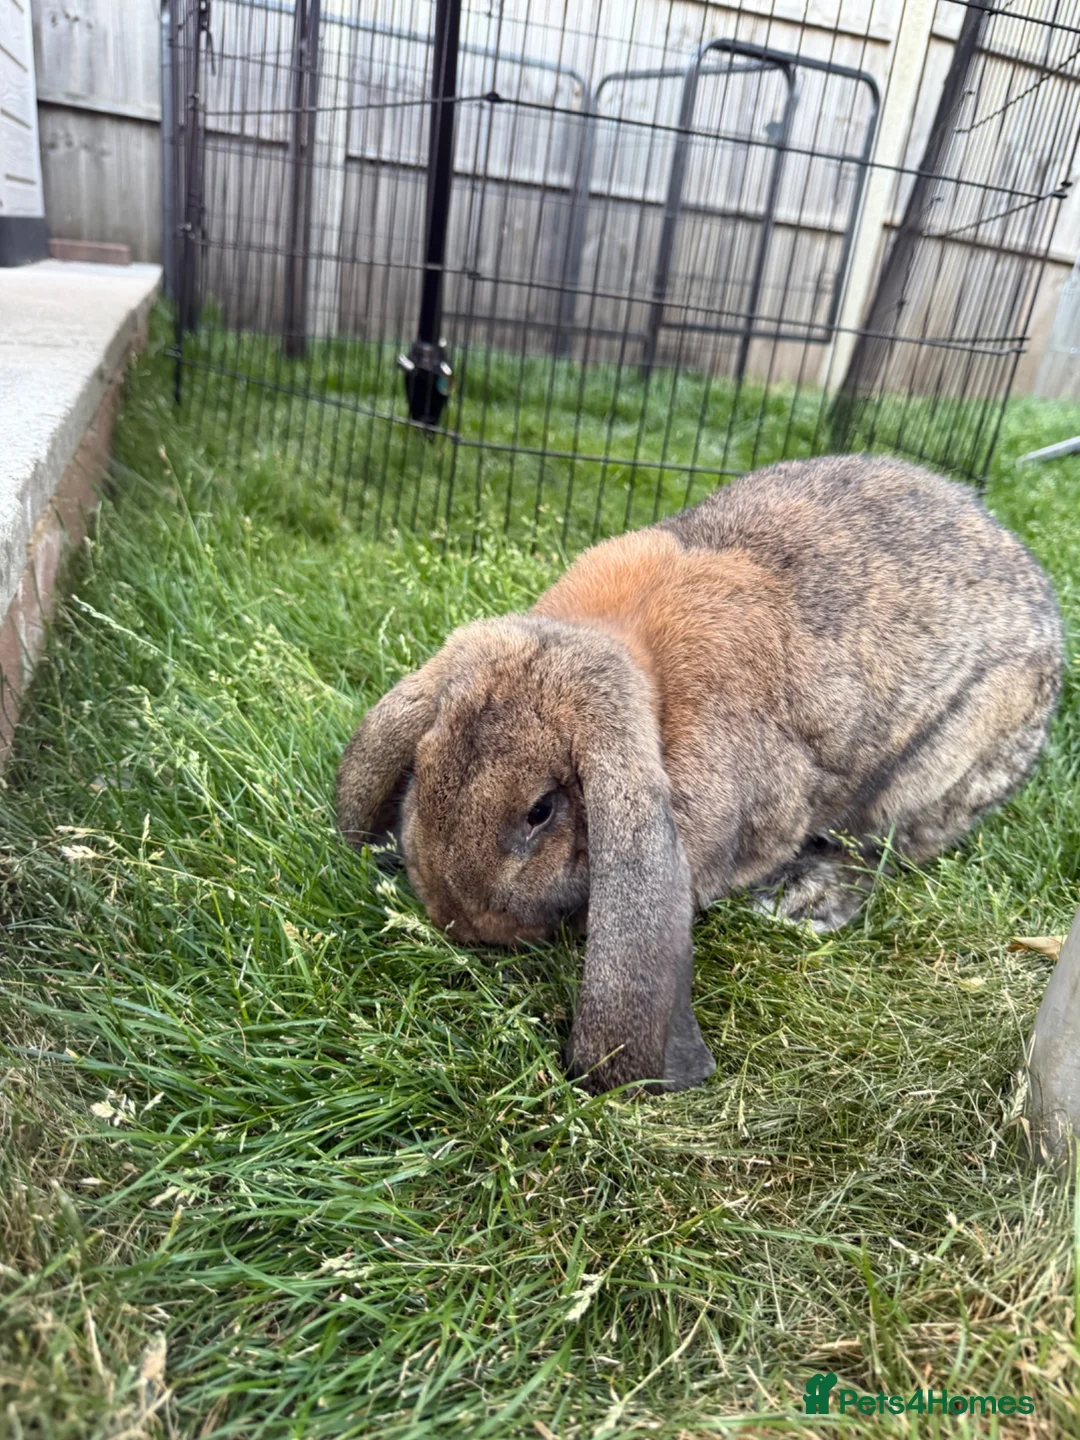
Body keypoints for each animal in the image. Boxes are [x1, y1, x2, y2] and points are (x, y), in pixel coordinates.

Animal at [336, 454, 1063, 1096]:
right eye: (422, 767)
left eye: (540, 810)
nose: (456, 920)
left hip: (932, 777)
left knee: (884, 850)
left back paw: (805, 899)